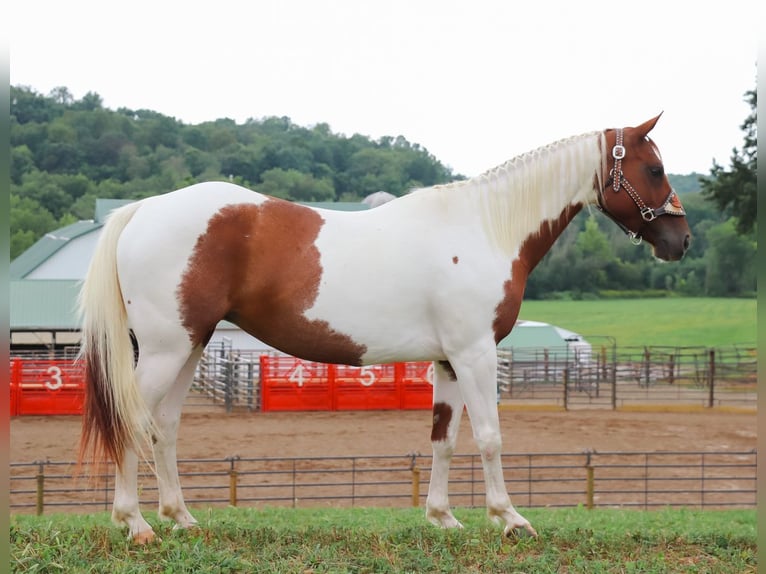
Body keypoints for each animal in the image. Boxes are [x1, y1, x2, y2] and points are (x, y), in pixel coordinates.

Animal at [77, 114, 690, 543]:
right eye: (654, 169)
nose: (680, 241)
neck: (484, 228)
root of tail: (143, 210)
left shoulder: (449, 361)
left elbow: (444, 438)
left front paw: (443, 518)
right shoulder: (475, 355)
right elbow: (489, 437)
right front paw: (510, 519)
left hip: (189, 347)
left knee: (164, 426)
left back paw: (181, 517)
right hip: (165, 349)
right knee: (132, 420)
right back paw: (136, 524)